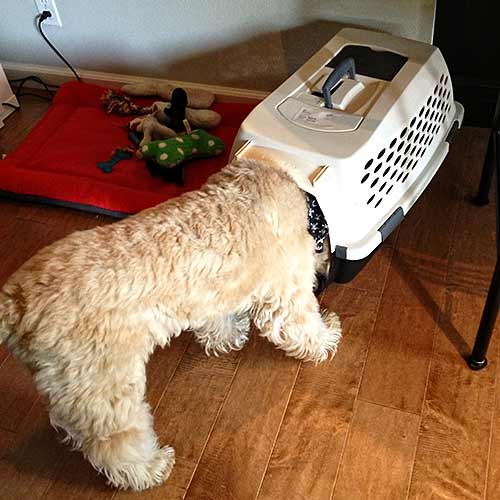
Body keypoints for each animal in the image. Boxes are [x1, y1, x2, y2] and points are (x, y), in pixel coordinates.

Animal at [0, 158, 342, 490]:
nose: (325, 281)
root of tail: (15, 302)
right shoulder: (287, 294)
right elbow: (302, 326)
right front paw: (328, 336)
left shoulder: (213, 292)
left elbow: (218, 320)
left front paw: (228, 336)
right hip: (106, 390)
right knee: (114, 448)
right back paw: (151, 468)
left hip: (75, 389)